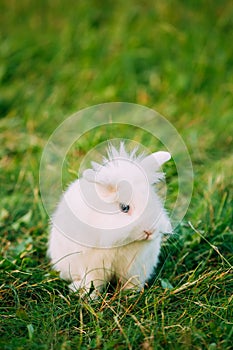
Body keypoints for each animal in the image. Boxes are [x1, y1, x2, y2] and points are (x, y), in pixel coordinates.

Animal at [47, 142, 172, 296]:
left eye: (154, 201)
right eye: (124, 208)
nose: (149, 231)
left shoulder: (134, 268)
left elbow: (132, 282)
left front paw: (131, 294)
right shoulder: (92, 266)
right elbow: (92, 283)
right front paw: (88, 296)